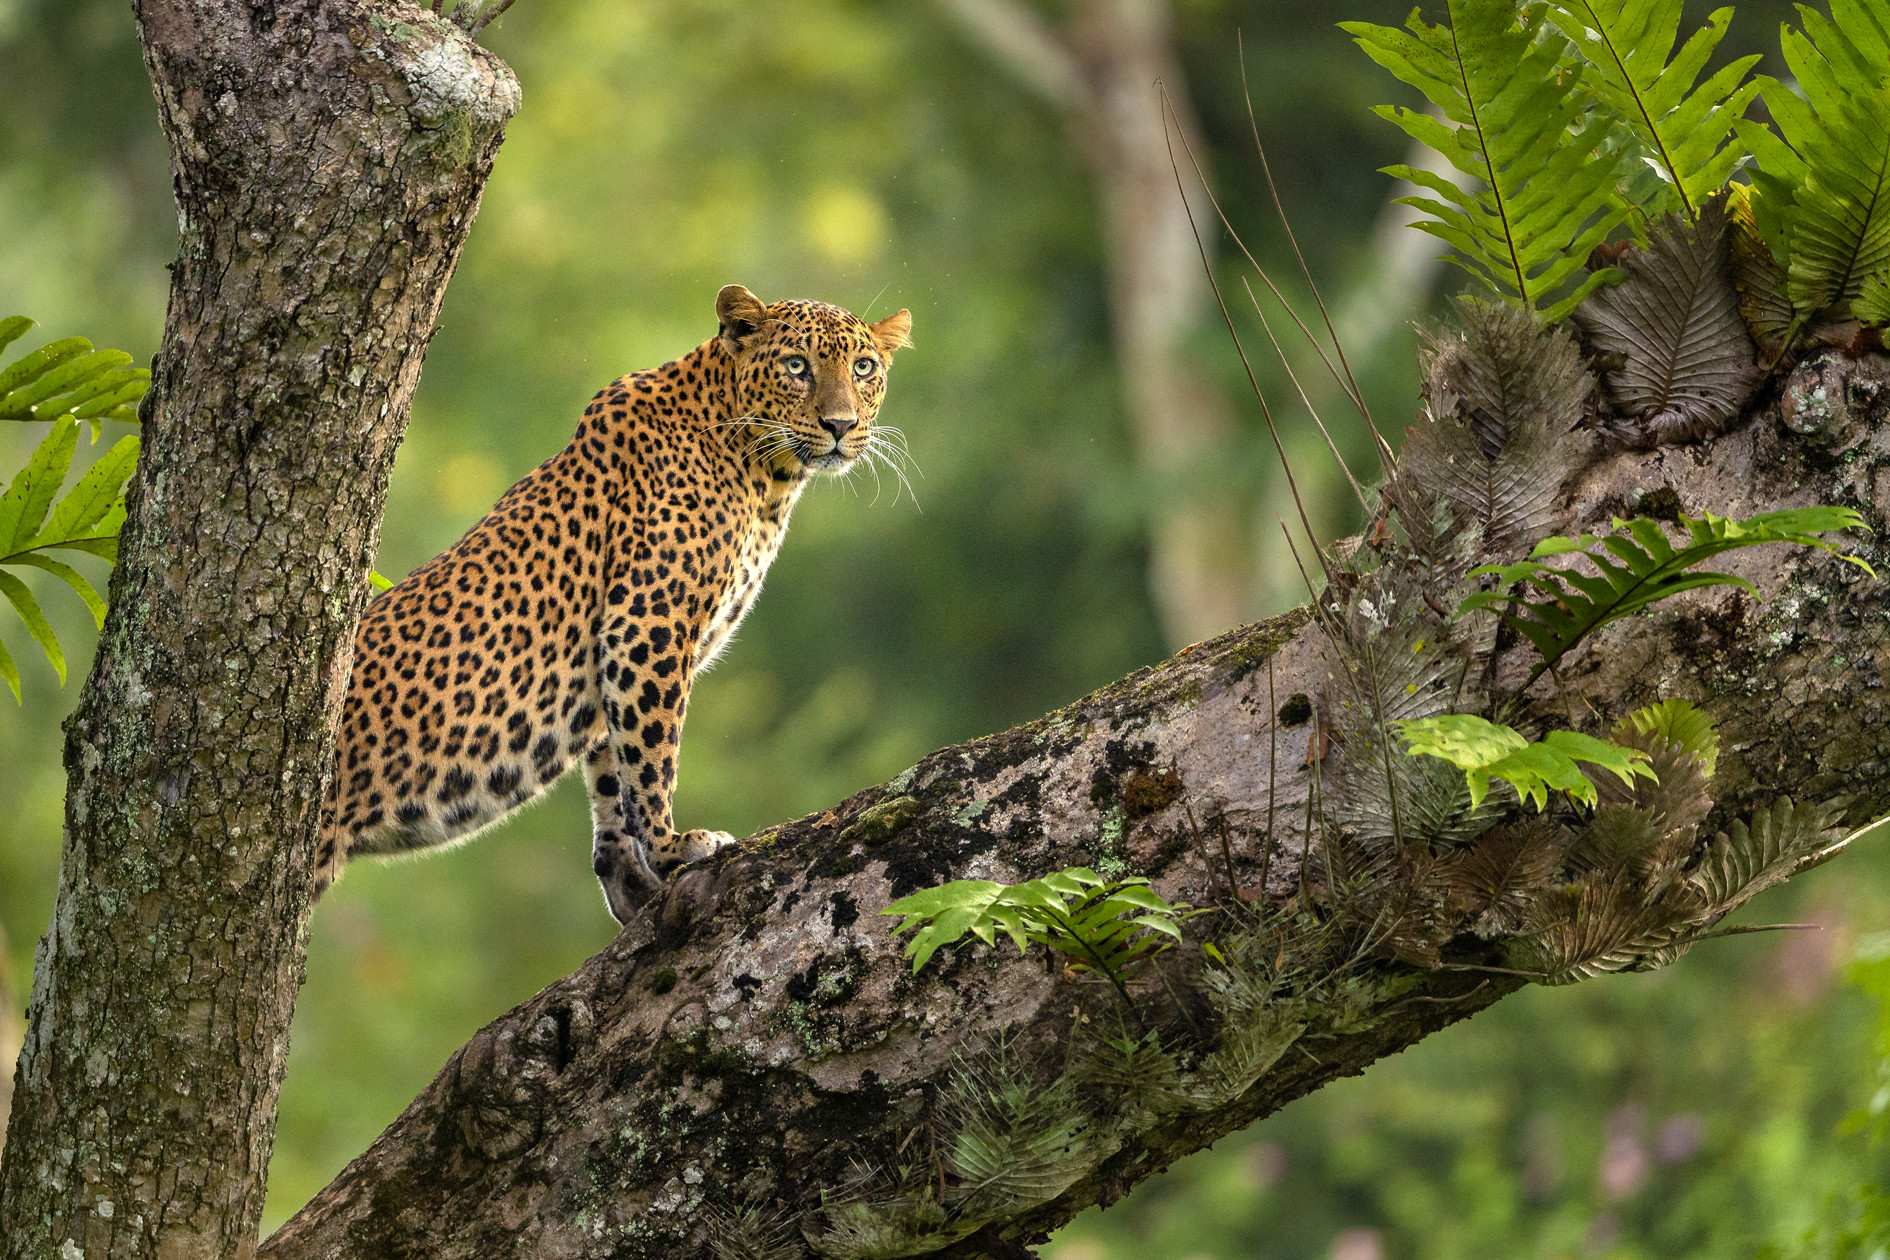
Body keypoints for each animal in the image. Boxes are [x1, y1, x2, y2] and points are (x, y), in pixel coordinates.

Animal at [313, 283, 910, 925]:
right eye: (797, 366)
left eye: (864, 368)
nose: (840, 424)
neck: (766, 477)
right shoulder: (648, 624)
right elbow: (652, 754)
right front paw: (674, 847)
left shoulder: (617, 656)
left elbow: (612, 768)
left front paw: (631, 880)